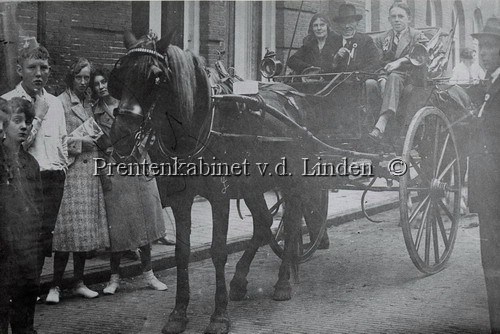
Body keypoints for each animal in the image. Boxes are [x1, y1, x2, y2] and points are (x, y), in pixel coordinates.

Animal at [108, 31, 328, 334]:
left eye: (156, 76)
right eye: (119, 74)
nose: (121, 135)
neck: (197, 125)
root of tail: (295, 95)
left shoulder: (220, 195)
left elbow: (218, 251)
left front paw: (219, 316)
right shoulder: (181, 198)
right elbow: (182, 252)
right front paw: (178, 313)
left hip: (292, 181)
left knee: (292, 223)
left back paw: (283, 283)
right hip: (252, 186)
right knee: (263, 224)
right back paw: (240, 281)